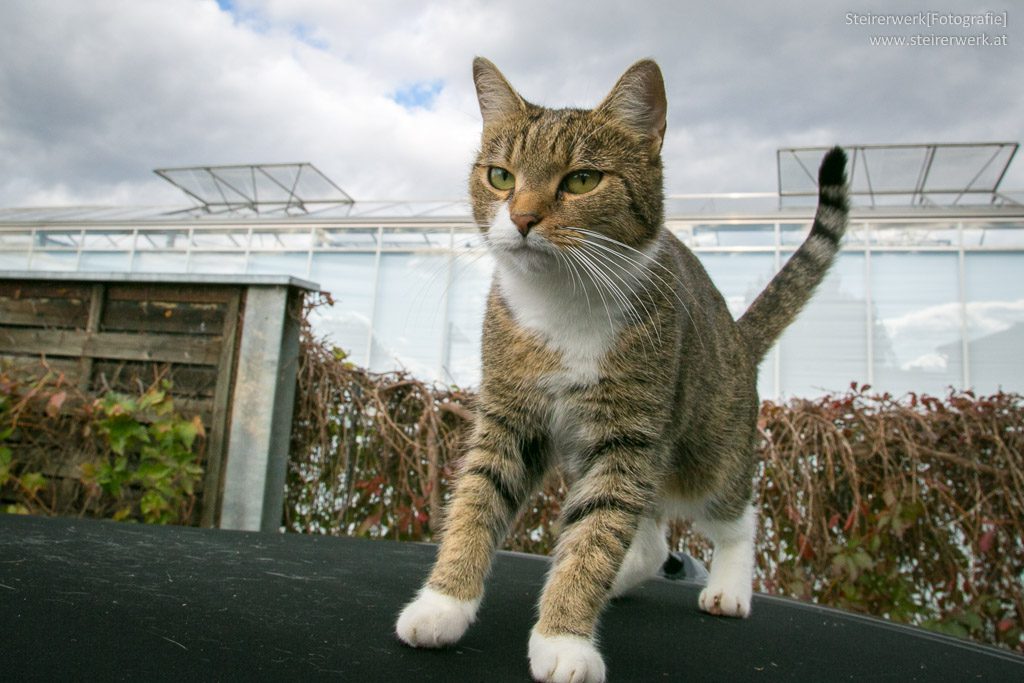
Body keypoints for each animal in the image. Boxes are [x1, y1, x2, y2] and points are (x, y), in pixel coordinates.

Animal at [393, 56, 847, 679]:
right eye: (501, 177)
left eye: (582, 180)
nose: (523, 218)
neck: (562, 303)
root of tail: (737, 336)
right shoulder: (510, 416)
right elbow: (478, 500)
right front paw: (443, 604)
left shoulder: (627, 436)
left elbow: (597, 532)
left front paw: (563, 639)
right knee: (651, 541)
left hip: (707, 447)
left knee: (733, 513)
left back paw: (729, 588)